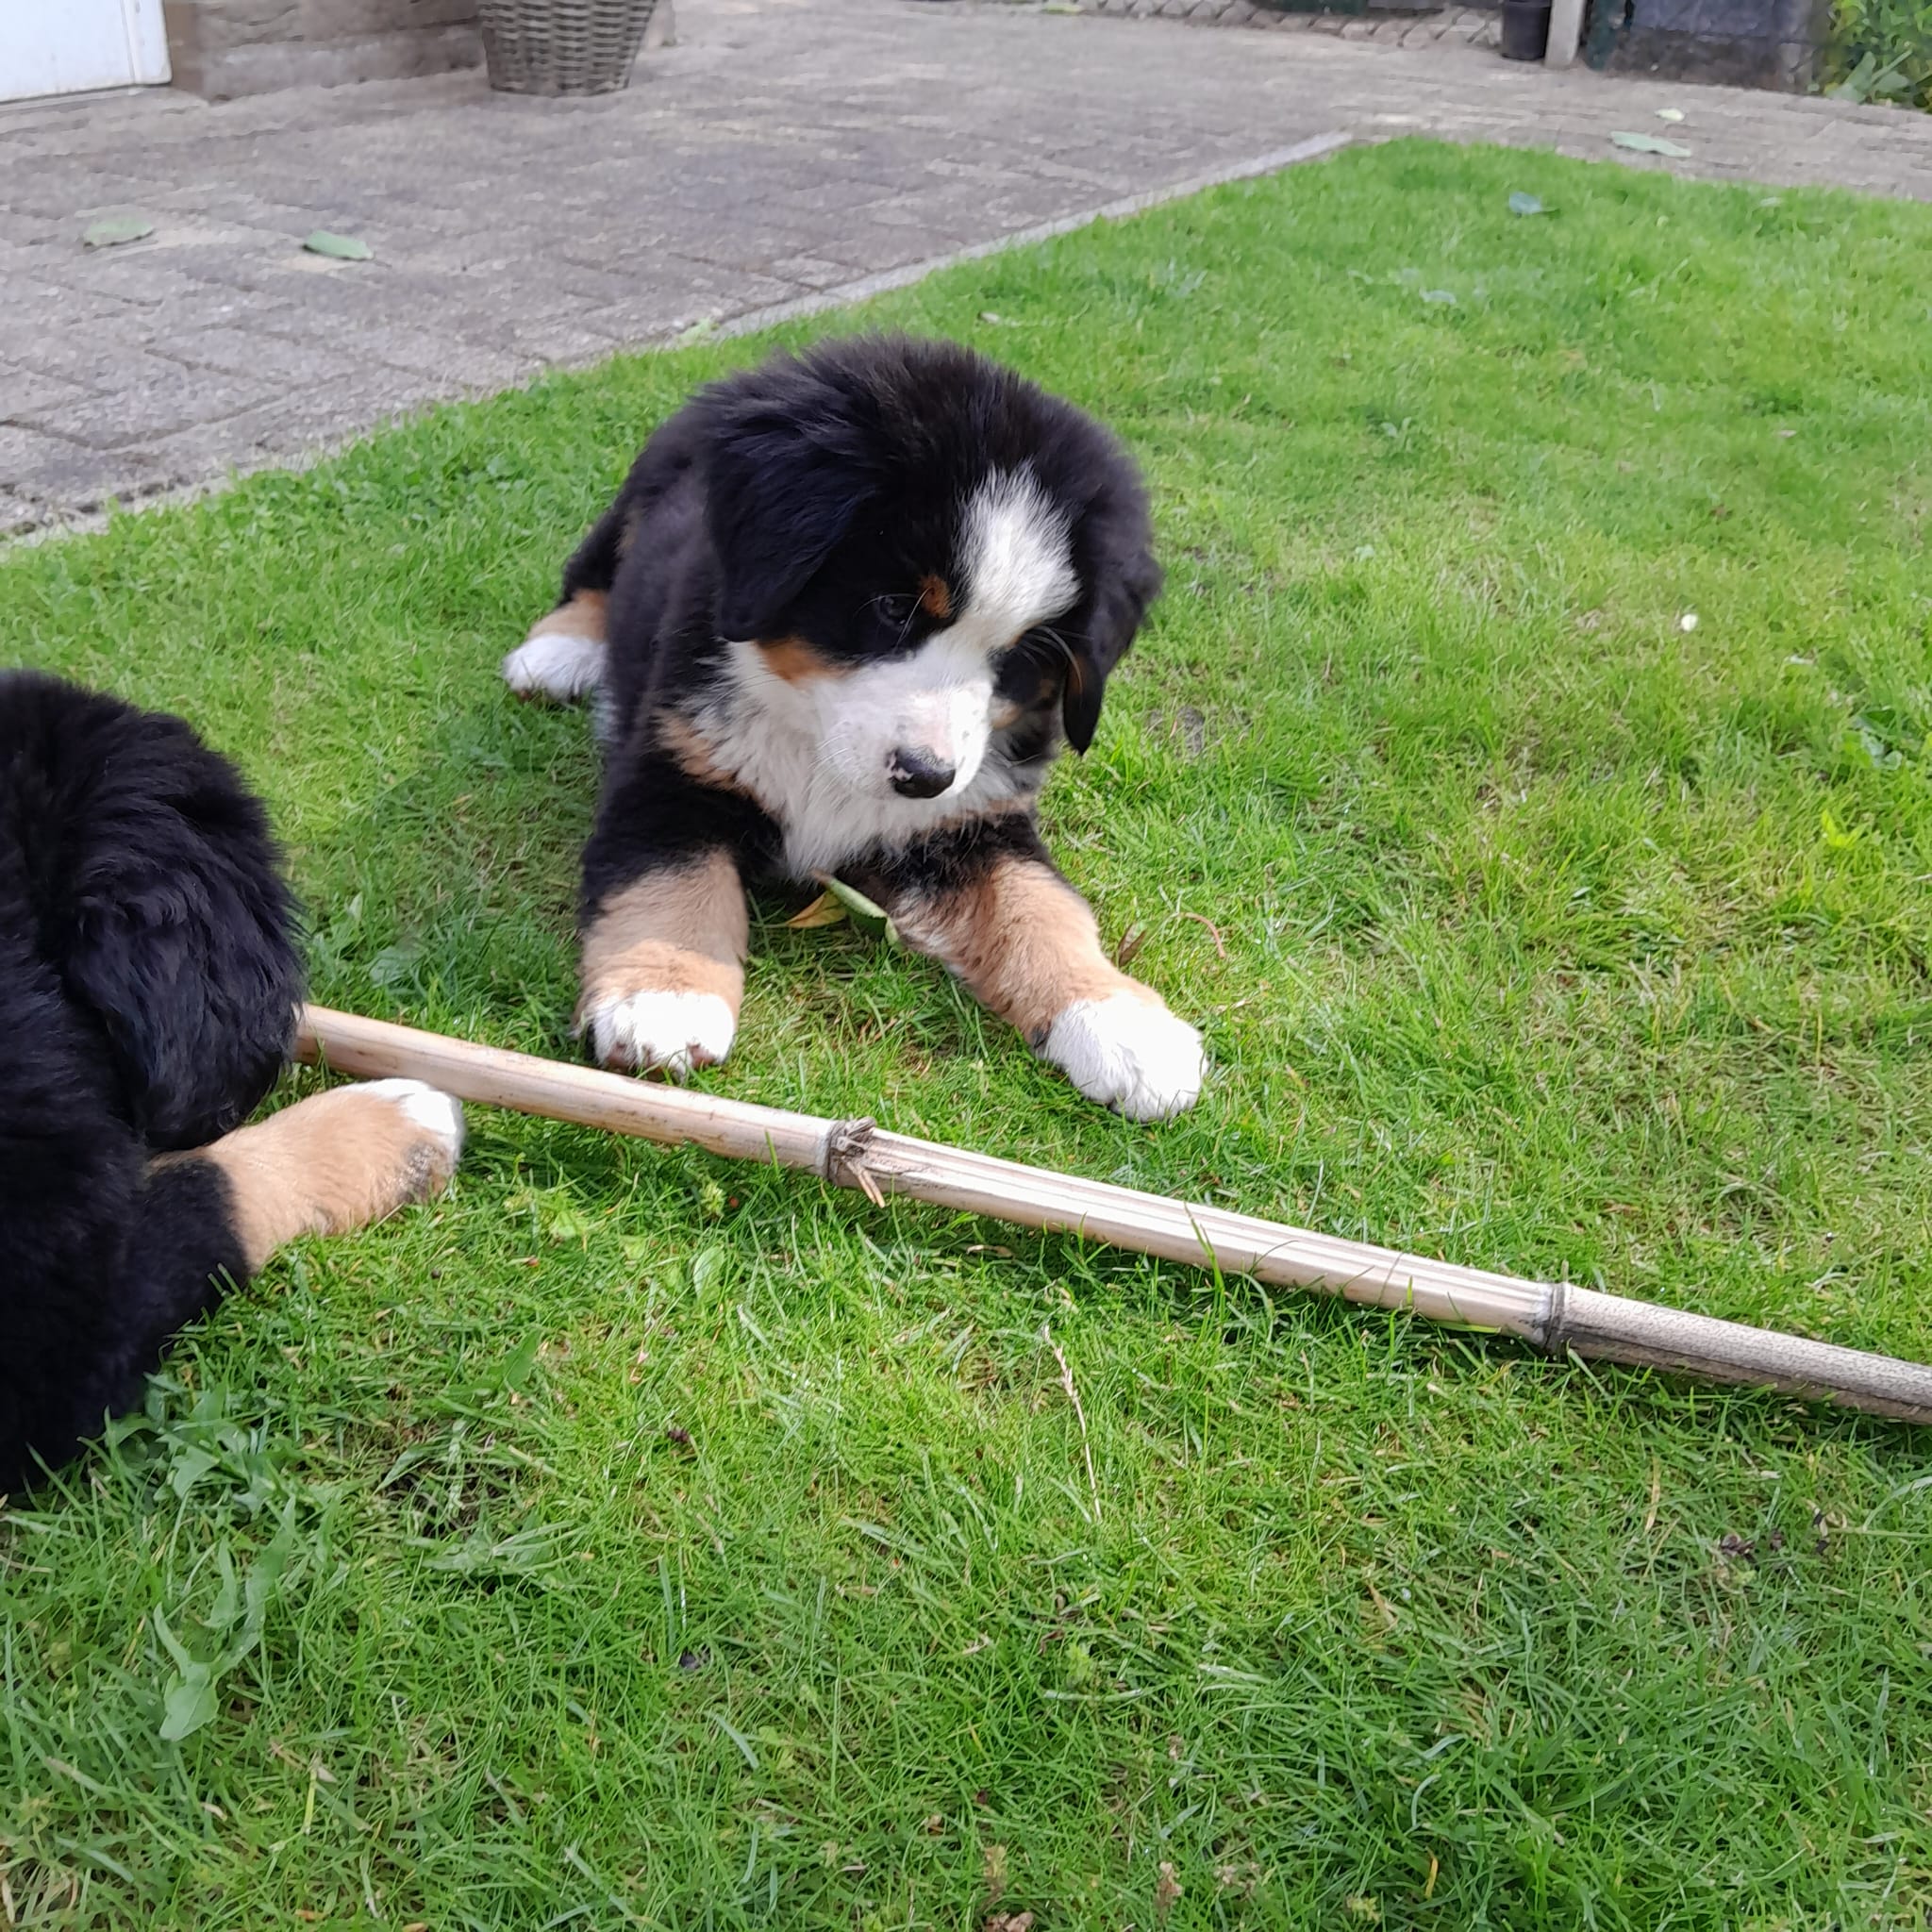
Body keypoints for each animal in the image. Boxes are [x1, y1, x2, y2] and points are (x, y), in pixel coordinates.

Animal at [498, 332, 1205, 1120]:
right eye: (895, 607)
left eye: (1022, 655)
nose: (924, 776)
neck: (814, 751)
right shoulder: (673, 771)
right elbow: (671, 881)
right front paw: (664, 998)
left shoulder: (971, 821)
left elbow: (1039, 906)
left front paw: (1122, 1024)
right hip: (639, 489)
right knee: (593, 570)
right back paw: (559, 651)